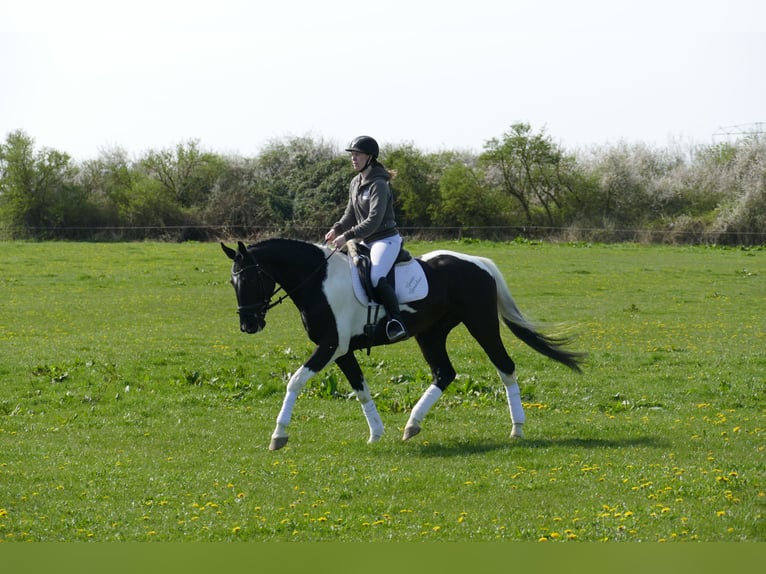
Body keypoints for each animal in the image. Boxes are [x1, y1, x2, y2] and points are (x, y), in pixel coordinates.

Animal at [222, 236, 588, 452]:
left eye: (251, 277)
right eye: (232, 281)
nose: (248, 325)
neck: (318, 281)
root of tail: (478, 263)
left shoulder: (329, 346)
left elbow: (295, 381)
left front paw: (278, 435)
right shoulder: (341, 351)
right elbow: (361, 389)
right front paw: (376, 433)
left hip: (481, 325)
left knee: (505, 368)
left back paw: (517, 428)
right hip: (431, 333)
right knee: (444, 373)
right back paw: (412, 424)